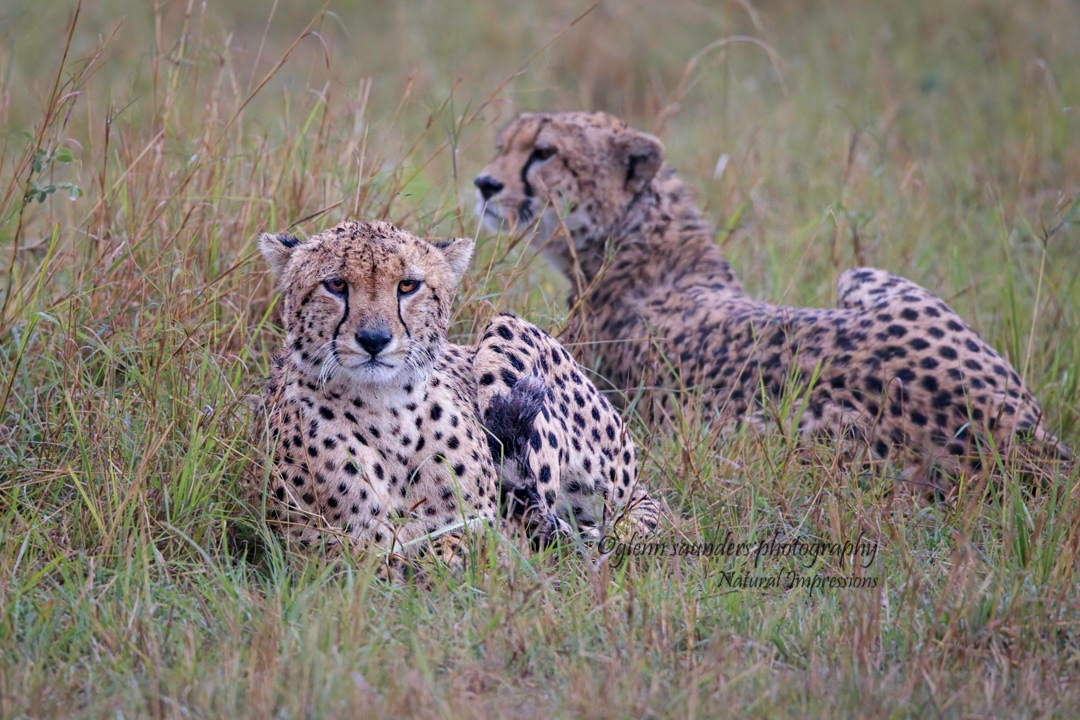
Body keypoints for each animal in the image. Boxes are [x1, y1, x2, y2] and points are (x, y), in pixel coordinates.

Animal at [249, 219, 657, 578]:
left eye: (408, 285)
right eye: (335, 284)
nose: (374, 339)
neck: (386, 411)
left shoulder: (482, 523)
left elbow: (456, 547)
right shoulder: (318, 546)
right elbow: (376, 561)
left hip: (506, 331)